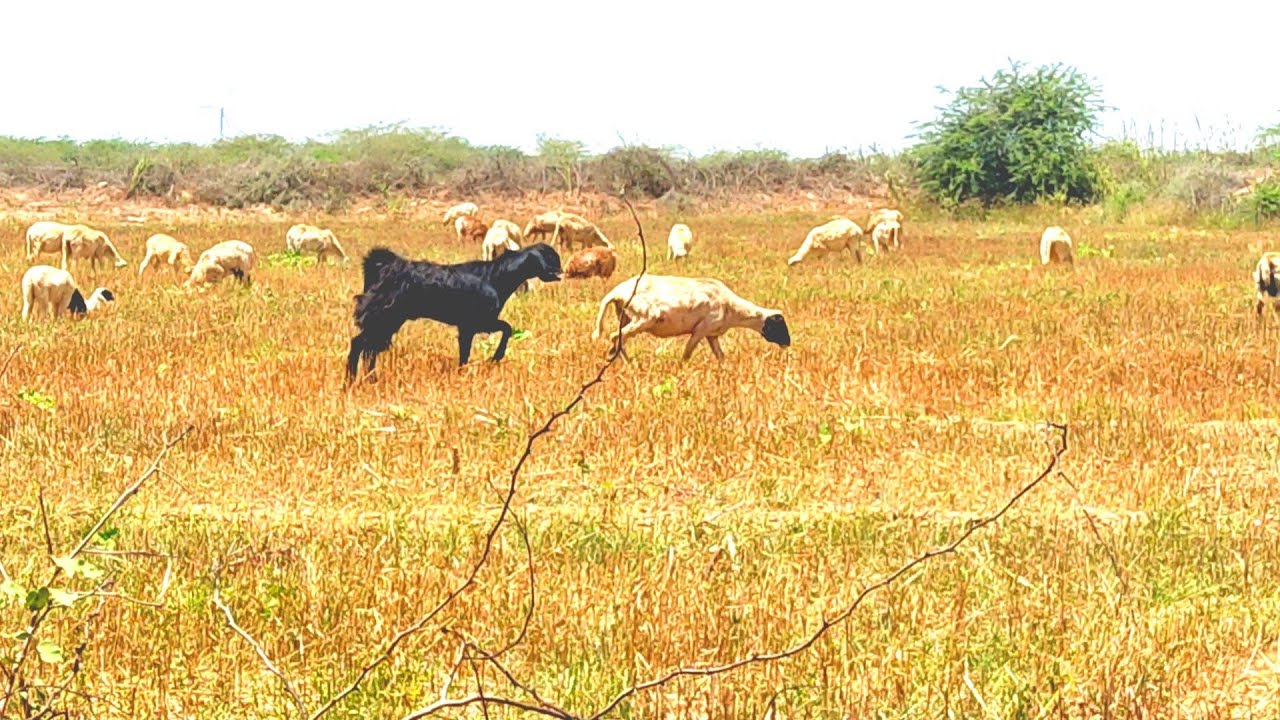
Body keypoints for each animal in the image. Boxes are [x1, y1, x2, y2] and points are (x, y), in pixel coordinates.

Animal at [346, 243, 564, 381]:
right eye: (553, 257)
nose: (562, 271)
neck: (497, 275)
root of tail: (385, 267)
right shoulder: (479, 322)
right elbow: (507, 328)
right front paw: (496, 357)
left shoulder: (468, 328)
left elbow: (465, 355)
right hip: (383, 320)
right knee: (359, 345)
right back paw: (351, 380)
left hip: (386, 324)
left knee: (368, 351)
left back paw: (370, 379)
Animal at [592, 274, 791, 360]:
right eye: (779, 326)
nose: (787, 343)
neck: (733, 308)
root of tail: (616, 292)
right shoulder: (700, 330)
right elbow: (687, 353)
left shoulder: (712, 334)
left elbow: (720, 356)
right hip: (644, 318)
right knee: (615, 336)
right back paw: (629, 363)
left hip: (625, 316)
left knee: (617, 339)